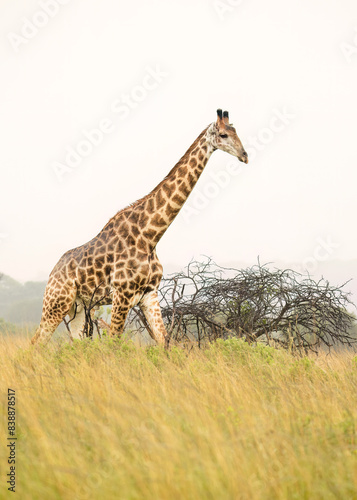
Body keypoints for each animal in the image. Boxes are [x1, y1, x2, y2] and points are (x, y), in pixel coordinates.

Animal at [30, 108, 248, 344]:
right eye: (224, 135)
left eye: (236, 131)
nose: (244, 155)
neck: (150, 236)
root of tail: (52, 273)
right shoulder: (122, 294)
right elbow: (114, 341)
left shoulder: (149, 294)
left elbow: (164, 341)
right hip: (56, 302)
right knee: (37, 342)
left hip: (79, 307)